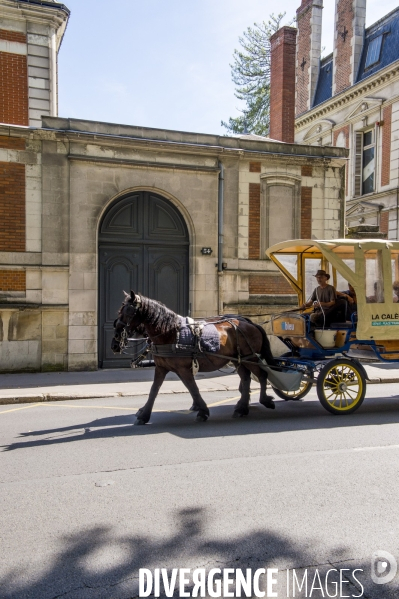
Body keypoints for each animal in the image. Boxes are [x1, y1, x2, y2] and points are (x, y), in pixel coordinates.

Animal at [111, 292, 276, 424]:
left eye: (128, 312)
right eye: (119, 311)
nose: (115, 342)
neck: (171, 333)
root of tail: (251, 324)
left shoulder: (183, 369)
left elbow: (193, 388)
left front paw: (202, 411)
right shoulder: (162, 368)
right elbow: (154, 390)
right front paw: (144, 414)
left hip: (251, 358)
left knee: (262, 375)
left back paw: (263, 400)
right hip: (239, 360)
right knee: (246, 379)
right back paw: (242, 408)